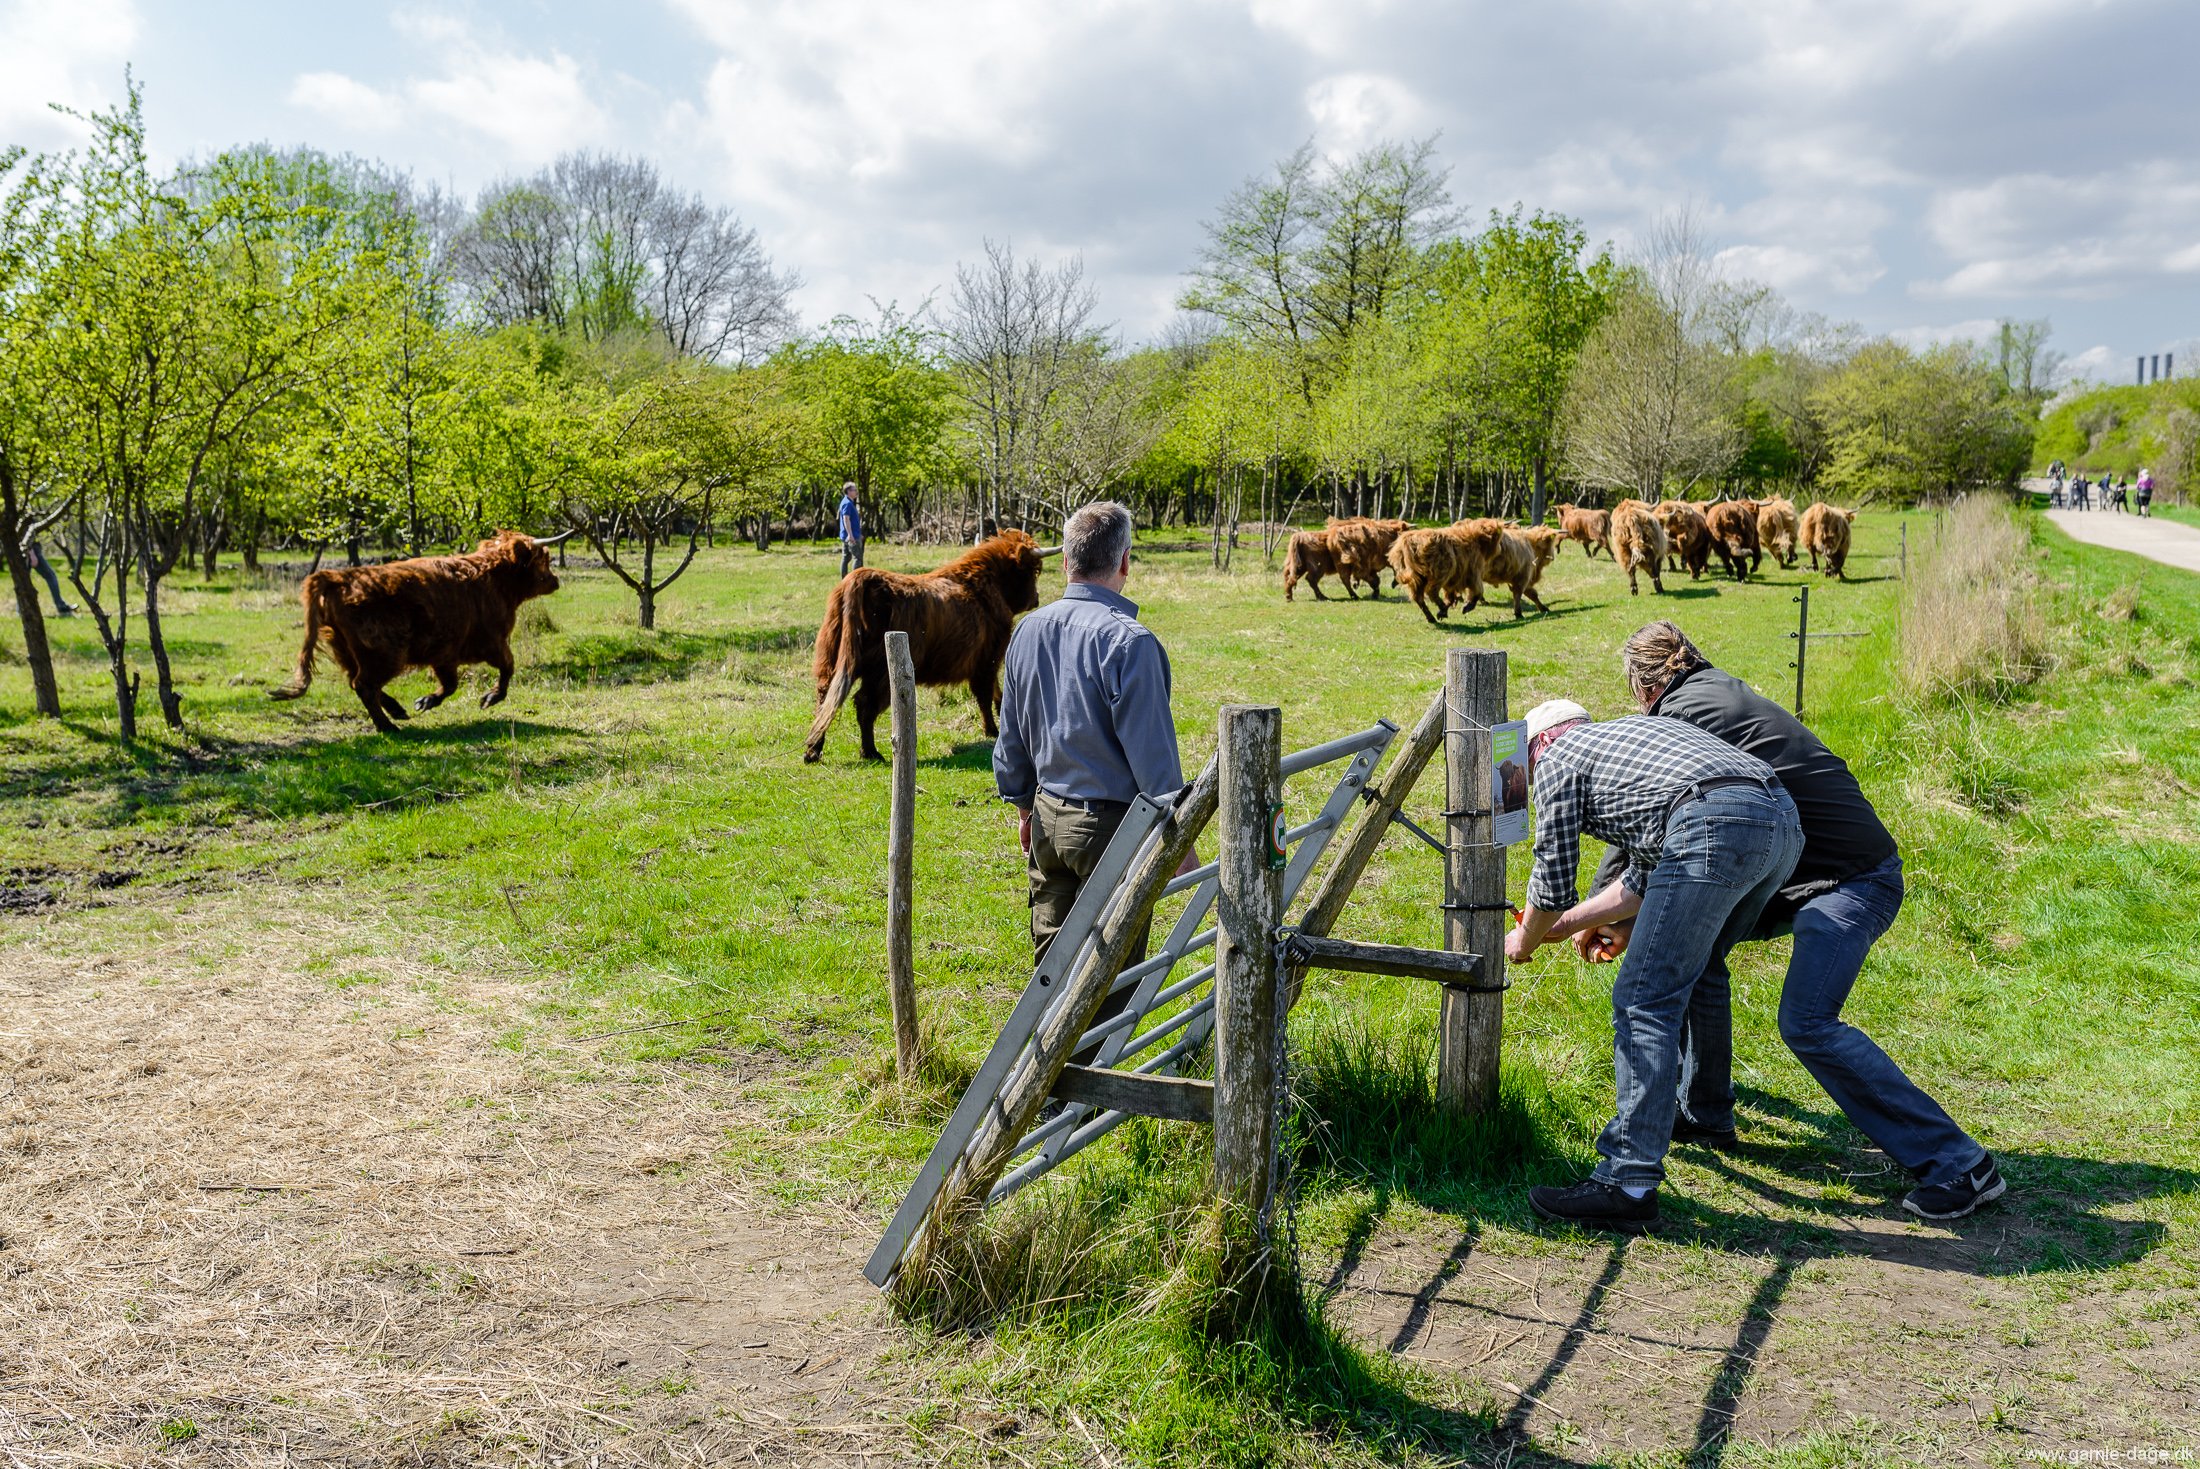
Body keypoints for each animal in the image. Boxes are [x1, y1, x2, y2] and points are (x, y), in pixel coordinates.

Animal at [268, 527, 567, 734]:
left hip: (346, 650)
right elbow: (508, 667)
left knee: (357, 681)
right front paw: (491, 697)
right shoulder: (493, 641)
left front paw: (426, 701)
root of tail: (337, 577)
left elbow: (450, 685)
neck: (495, 578)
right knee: (364, 684)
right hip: (385, 654)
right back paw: (388, 726)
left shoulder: (445, 654)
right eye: (545, 559)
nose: (556, 580)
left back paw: (396, 711)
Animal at [805, 529, 1051, 765]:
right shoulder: (989, 657)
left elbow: (995, 690)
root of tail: (861, 578)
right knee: (864, 704)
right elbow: (985, 693)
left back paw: (813, 750)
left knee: (824, 698)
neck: (987, 585)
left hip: (830, 658)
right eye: (1034, 571)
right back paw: (870, 752)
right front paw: (992, 730)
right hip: (882, 672)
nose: (1036, 598)